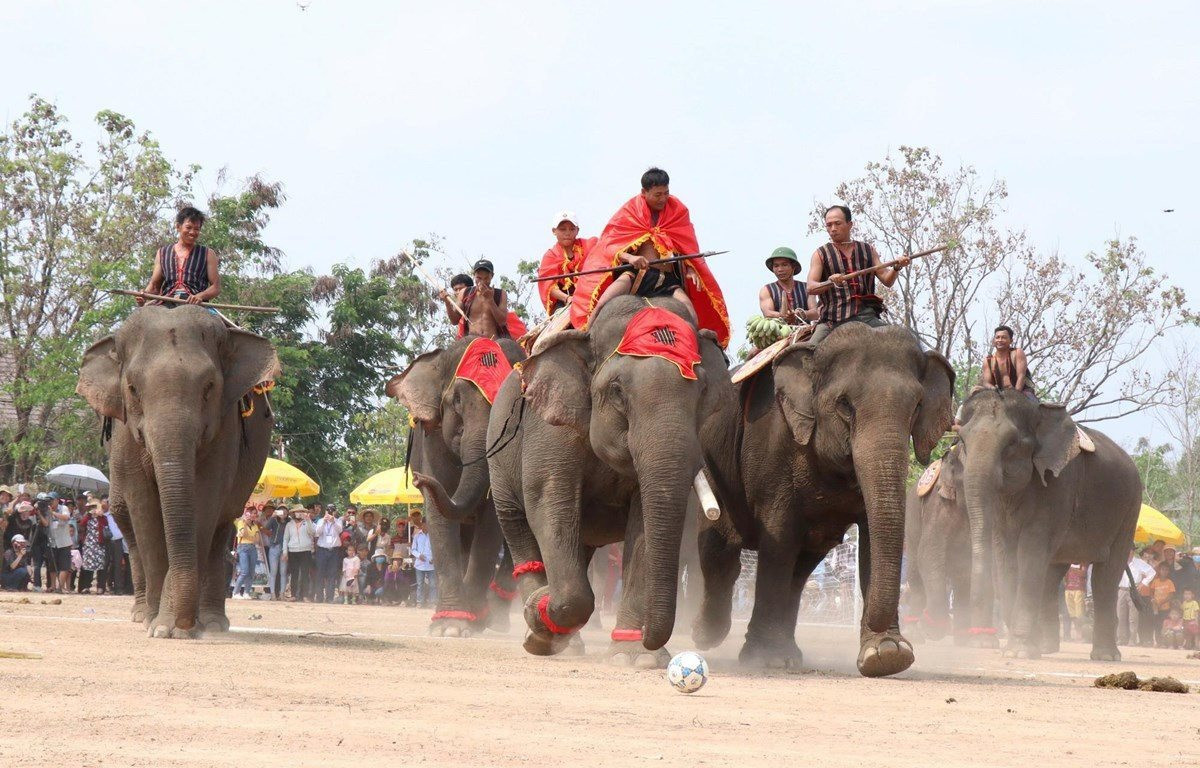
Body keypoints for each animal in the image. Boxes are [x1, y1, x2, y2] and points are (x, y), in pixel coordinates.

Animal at [75, 306, 278, 633]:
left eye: (209, 387)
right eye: (132, 388)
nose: (183, 621)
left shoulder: (225, 429)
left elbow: (205, 498)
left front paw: (171, 626)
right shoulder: (125, 435)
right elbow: (143, 506)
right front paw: (157, 624)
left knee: (223, 525)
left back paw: (212, 623)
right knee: (124, 517)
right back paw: (142, 613)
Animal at [386, 333, 523, 638]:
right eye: (457, 400)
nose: (418, 479)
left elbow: (492, 522)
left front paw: (470, 621)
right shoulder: (432, 439)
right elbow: (441, 517)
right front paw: (449, 625)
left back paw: (493, 618)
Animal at [696, 324, 955, 676]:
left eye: (916, 406)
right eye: (844, 404)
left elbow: (873, 539)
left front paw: (886, 655)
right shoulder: (772, 444)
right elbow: (779, 536)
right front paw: (766, 659)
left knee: (802, 565)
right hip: (712, 463)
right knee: (720, 546)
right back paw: (709, 635)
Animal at [902, 444, 969, 643]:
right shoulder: (938, 504)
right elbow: (928, 554)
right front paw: (931, 629)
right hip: (911, 526)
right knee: (916, 571)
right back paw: (914, 633)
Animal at [955, 388, 1142, 662]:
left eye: (1011, 443)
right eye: (962, 440)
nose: (981, 639)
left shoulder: (1058, 485)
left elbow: (1031, 551)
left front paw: (1018, 652)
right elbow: (1006, 556)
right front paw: (1022, 648)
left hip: (1129, 508)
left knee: (1105, 575)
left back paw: (1105, 656)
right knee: (1052, 576)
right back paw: (1045, 648)